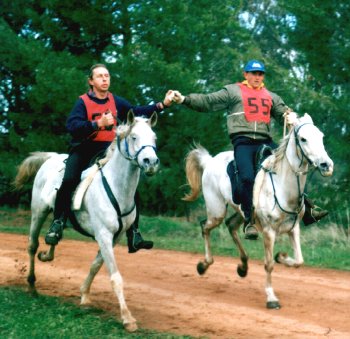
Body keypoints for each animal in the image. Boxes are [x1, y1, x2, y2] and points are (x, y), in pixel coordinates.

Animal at [13, 111, 159, 332]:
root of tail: (51, 157)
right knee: (32, 245)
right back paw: (31, 285)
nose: (151, 162)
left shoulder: (114, 238)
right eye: (134, 137)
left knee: (54, 235)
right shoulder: (104, 235)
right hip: (38, 212)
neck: (117, 186)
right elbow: (115, 277)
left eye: (154, 138)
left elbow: (95, 266)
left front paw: (84, 296)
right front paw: (127, 318)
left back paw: (47, 253)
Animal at [183, 114, 334, 310]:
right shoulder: (269, 232)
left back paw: (243, 267)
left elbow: (299, 260)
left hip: (241, 213)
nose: (326, 165)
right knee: (205, 227)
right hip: (216, 211)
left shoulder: (293, 228)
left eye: (321, 136)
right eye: (303, 139)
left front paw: (281, 257)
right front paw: (271, 298)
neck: (282, 186)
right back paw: (204, 265)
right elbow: (268, 264)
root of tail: (209, 161)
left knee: (230, 226)